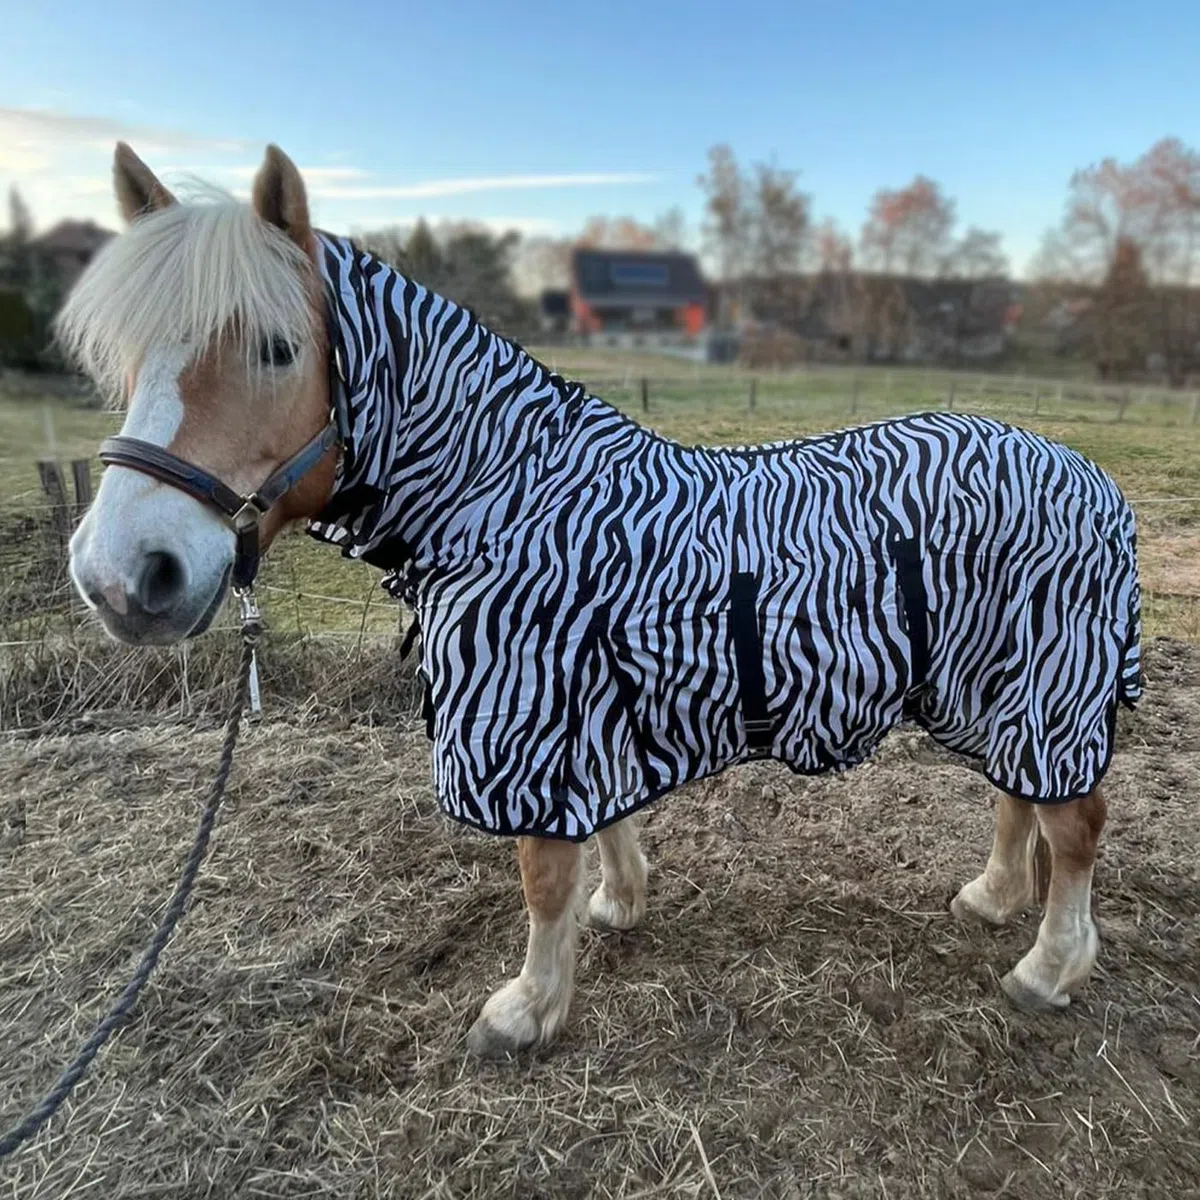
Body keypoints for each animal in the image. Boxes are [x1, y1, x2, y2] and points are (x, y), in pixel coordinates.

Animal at [61, 142, 1142, 1058]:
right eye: (125, 359)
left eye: (280, 349)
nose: (125, 574)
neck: (511, 498)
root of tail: (1093, 480)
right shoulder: (584, 713)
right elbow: (599, 831)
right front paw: (618, 906)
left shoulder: (536, 717)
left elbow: (541, 877)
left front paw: (528, 1007)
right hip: (995, 685)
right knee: (1019, 794)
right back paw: (994, 897)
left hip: (1048, 682)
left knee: (1074, 825)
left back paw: (1048, 968)